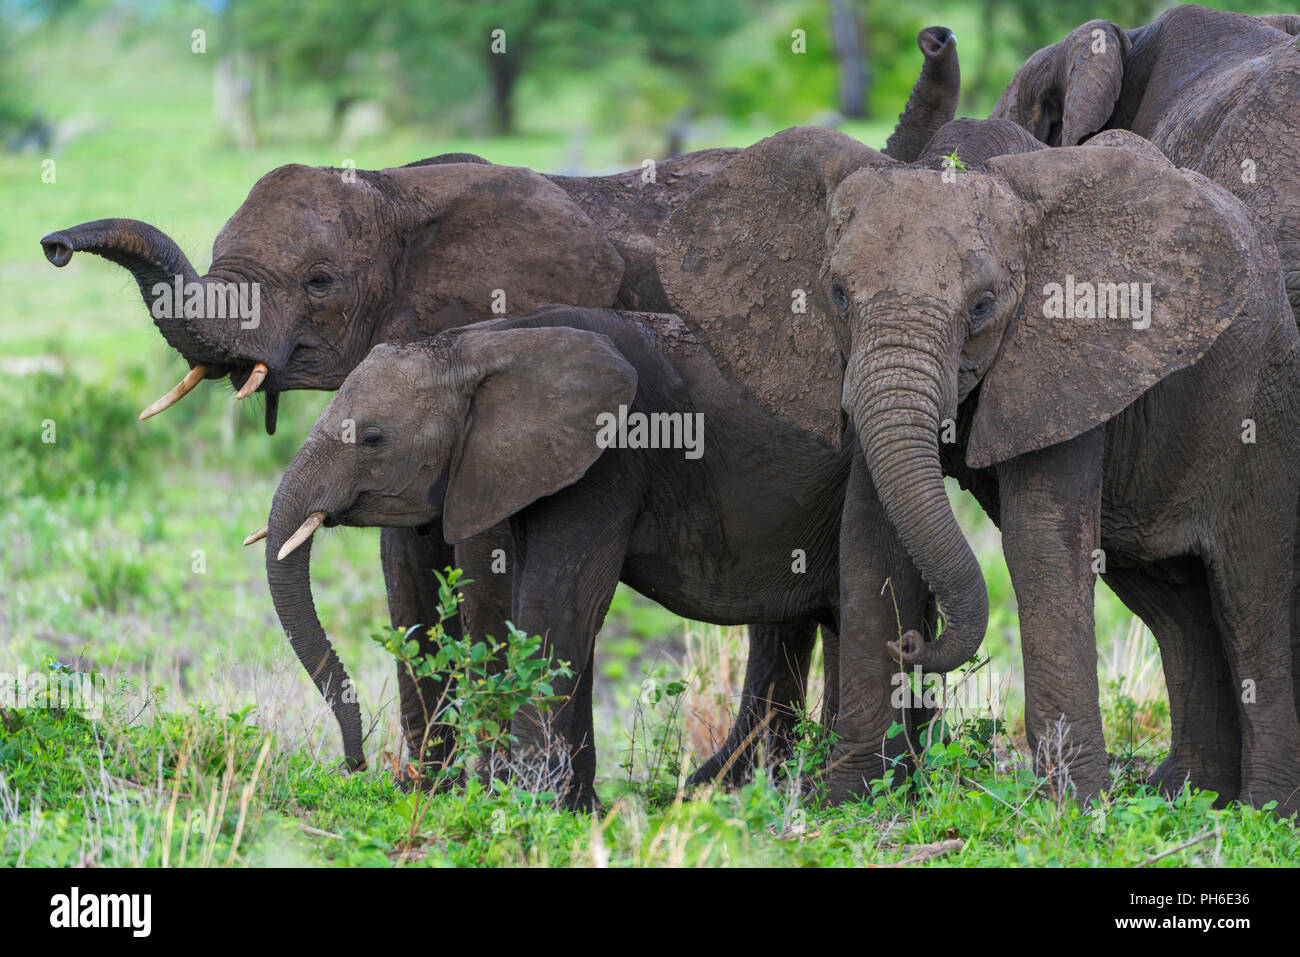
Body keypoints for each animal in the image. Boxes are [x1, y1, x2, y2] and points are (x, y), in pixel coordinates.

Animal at [266, 300, 935, 806]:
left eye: (373, 439)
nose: (354, 766)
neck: (482, 345)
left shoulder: (610, 458)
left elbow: (559, 606)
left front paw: (530, 805)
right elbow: (557, 614)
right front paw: (572, 809)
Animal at [660, 125, 1300, 816]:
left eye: (983, 305)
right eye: (837, 294)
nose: (911, 646)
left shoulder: (1066, 354)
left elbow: (1038, 541)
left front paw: (1072, 812)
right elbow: (872, 539)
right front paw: (848, 802)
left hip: (1267, 403)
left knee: (1251, 595)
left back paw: (1265, 809)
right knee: (1174, 605)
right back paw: (1191, 796)